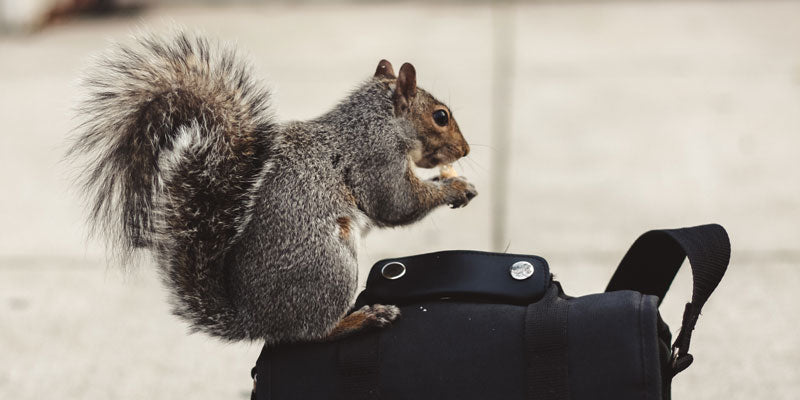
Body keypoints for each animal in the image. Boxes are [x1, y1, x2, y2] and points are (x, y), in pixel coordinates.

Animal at [70, 30, 476, 344]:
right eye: (441, 116)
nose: (466, 150)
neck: (378, 120)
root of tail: (257, 321)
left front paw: (453, 179)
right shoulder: (377, 160)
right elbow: (398, 204)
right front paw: (455, 189)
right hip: (331, 266)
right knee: (310, 334)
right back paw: (363, 318)